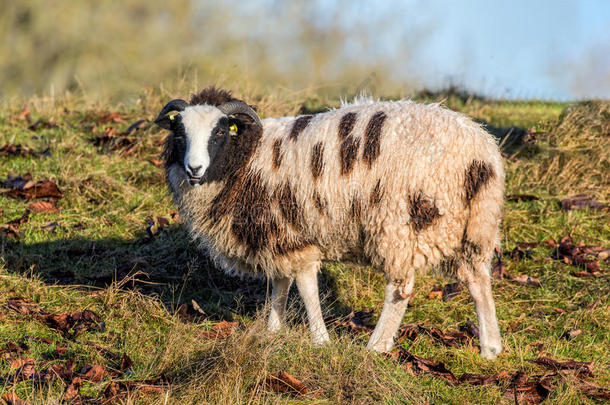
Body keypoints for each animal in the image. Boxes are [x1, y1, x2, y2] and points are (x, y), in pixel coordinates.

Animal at [153, 87, 504, 358]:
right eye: (180, 133)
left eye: (220, 132)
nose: (194, 169)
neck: (247, 160)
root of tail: (480, 154)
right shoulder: (278, 236)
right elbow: (280, 285)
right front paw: (273, 331)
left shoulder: (296, 236)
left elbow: (306, 288)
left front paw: (320, 340)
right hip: (472, 227)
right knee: (478, 281)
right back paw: (490, 349)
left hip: (401, 222)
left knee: (400, 289)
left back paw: (376, 346)